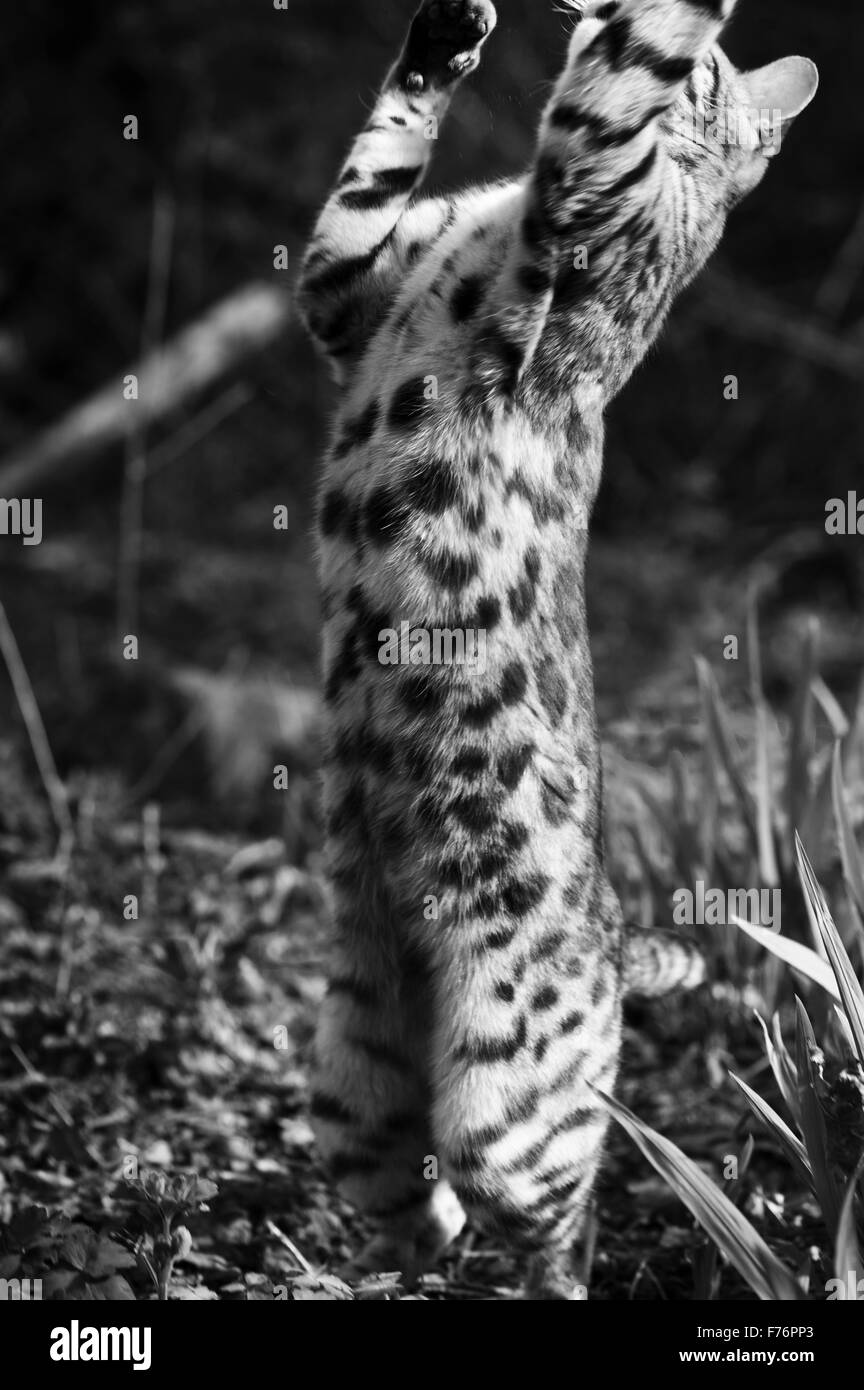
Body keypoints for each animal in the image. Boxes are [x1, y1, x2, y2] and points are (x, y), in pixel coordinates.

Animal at [297, 0, 816, 1301]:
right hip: (350, 1093)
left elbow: (636, 55)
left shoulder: (589, 173)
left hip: (506, 1109)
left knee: (563, 1219)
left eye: (721, 74)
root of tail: (615, 939)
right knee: (419, 1201)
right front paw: (446, 35)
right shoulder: (346, 293)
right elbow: (379, 153)